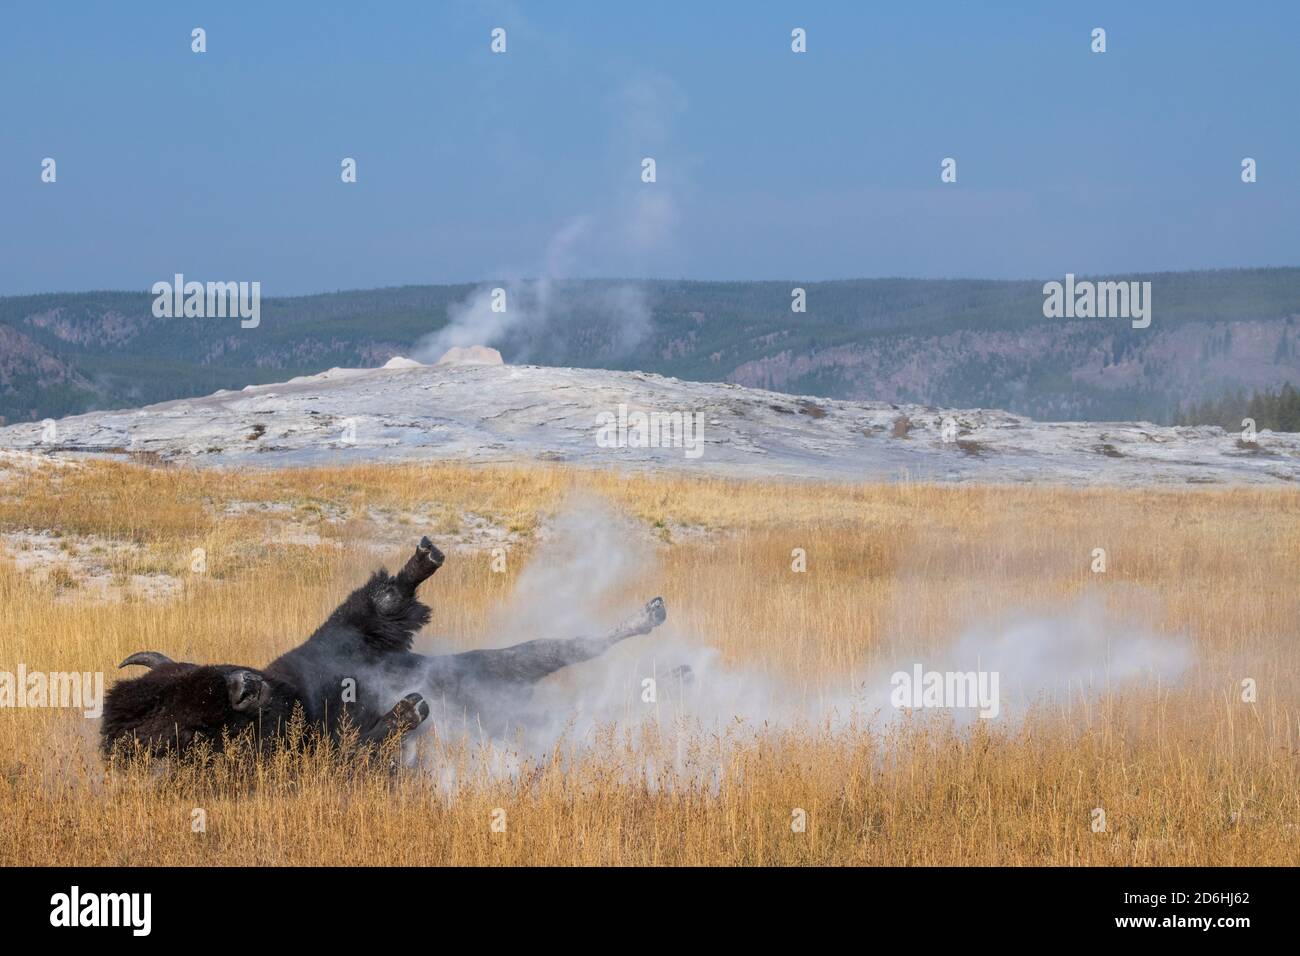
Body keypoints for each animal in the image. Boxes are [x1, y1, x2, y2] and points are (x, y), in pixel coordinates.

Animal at [101, 536, 668, 757]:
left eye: (204, 669)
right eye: (187, 729)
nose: (243, 686)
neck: (297, 698)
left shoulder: (341, 639)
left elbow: (382, 602)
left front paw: (425, 558)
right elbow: (372, 741)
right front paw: (412, 706)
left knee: (562, 648)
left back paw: (652, 615)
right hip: (502, 679)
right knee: (557, 656)